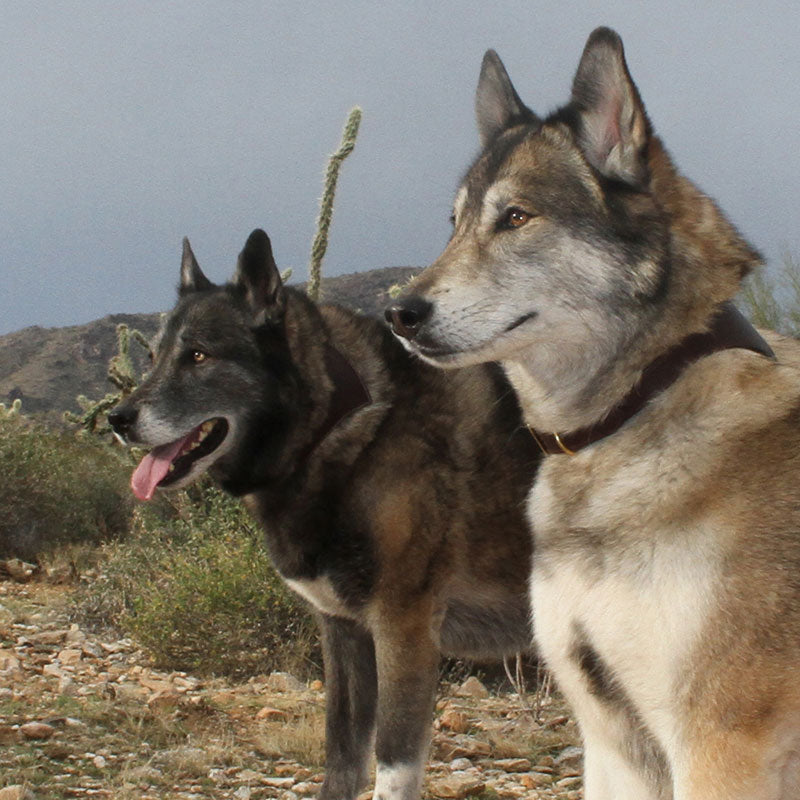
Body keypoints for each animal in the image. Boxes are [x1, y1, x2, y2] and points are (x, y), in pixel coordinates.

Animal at [109, 230, 540, 800]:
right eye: (154, 356)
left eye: (198, 355)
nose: (117, 419)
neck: (338, 426)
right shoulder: (343, 632)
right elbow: (341, 758)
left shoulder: (404, 630)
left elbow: (393, 764)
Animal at [388, 26, 800, 800]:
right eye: (453, 224)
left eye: (516, 217)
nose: (398, 313)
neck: (642, 402)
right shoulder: (613, 740)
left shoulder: (718, 745)